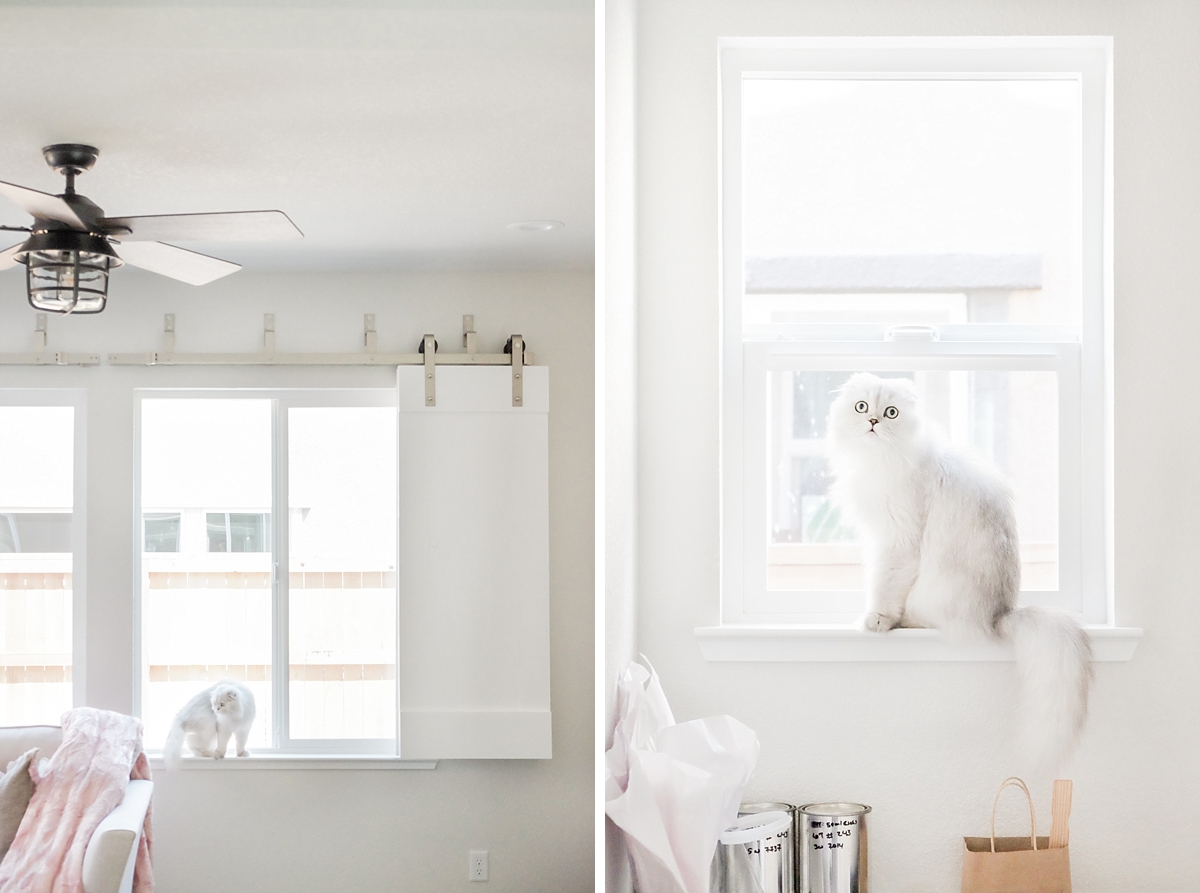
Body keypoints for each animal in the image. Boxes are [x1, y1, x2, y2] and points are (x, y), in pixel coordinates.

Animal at [830, 369, 1094, 768]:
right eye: (862, 407)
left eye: (891, 413)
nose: (873, 421)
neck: (883, 461)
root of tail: (1001, 613)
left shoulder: (898, 536)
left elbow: (885, 585)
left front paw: (877, 619)